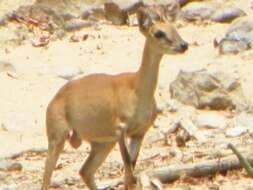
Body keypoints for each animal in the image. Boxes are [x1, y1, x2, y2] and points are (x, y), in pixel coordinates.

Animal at [41, 7, 188, 190]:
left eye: (173, 27)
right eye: (159, 32)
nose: (184, 45)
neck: (137, 88)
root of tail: (54, 100)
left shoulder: (139, 133)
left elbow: (130, 172)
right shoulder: (121, 130)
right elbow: (128, 169)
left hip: (102, 144)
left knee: (85, 171)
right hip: (57, 137)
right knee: (47, 176)